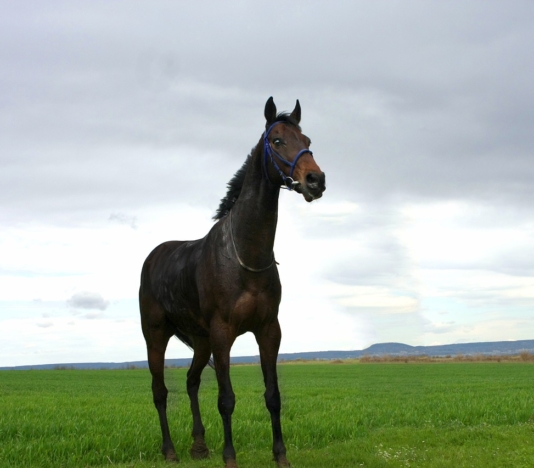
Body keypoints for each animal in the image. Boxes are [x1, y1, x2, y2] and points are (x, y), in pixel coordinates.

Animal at [139, 97, 326, 466]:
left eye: (307, 140)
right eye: (277, 140)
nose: (315, 179)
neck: (245, 255)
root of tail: (152, 257)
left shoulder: (268, 330)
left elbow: (273, 396)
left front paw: (280, 456)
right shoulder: (223, 333)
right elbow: (226, 399)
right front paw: (230, 457)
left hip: (200, 341)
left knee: (191, 381)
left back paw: (199, 446)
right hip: (156, 335)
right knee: (160, 391)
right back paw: (170, 451)